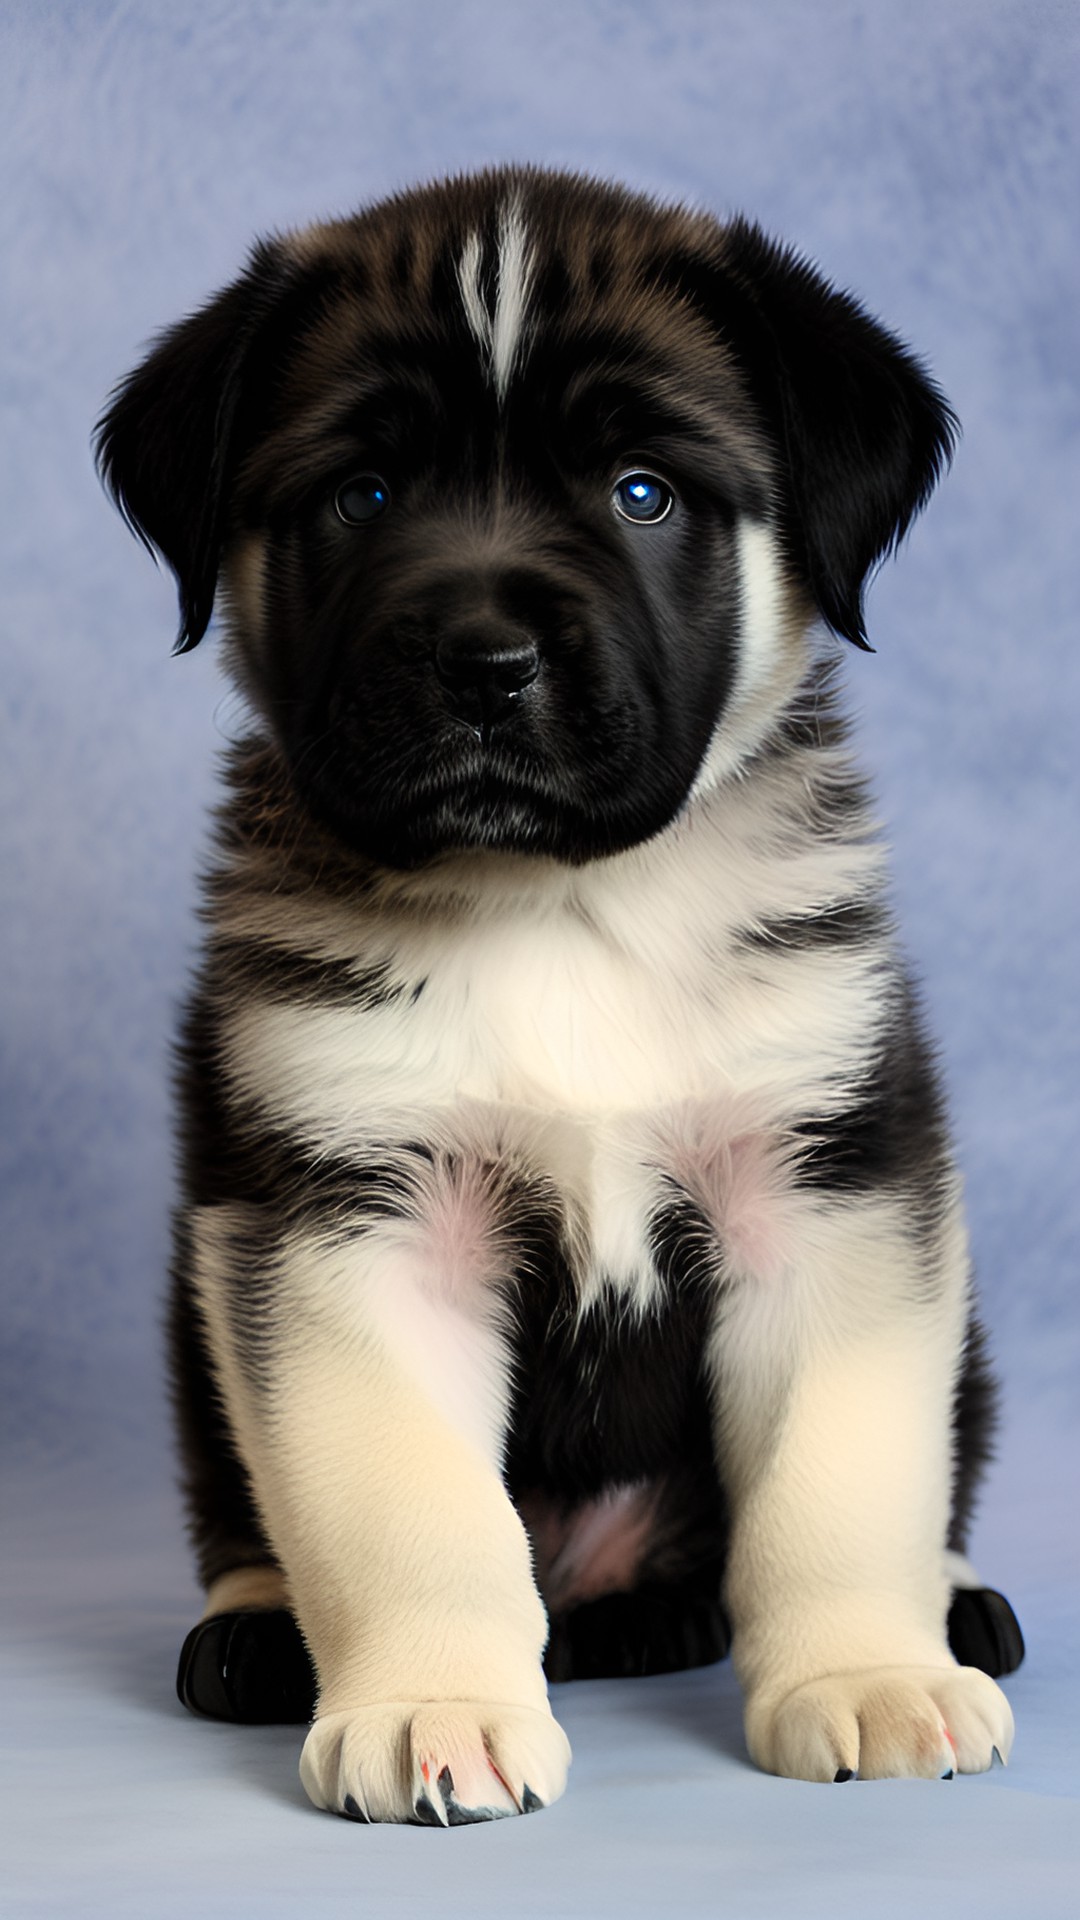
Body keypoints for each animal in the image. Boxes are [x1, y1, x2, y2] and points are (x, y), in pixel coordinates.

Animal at [98, 161, 1014, 1812]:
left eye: (643, 492)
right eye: (363, 495)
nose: (484, 660)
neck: (561, 911)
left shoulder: (828, 1189)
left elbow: (839, 1476)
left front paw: (865, 1673)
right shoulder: (353, 1220)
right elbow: (406, 1506)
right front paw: (434, 1701)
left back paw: (947, 1607)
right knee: (247, 1506)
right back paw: (258, 1628)